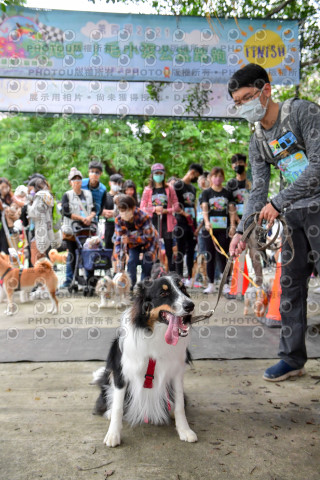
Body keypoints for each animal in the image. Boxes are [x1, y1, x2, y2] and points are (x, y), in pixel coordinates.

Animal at [92, 274, 198, 446]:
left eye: (183, 288)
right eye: (163, 293)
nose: (190, 305)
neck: (155, 332)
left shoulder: (177, 372)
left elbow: (180, 405)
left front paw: (184, 430)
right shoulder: (121, 373)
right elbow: (118, 407)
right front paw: (113, 434)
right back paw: (108, 411)